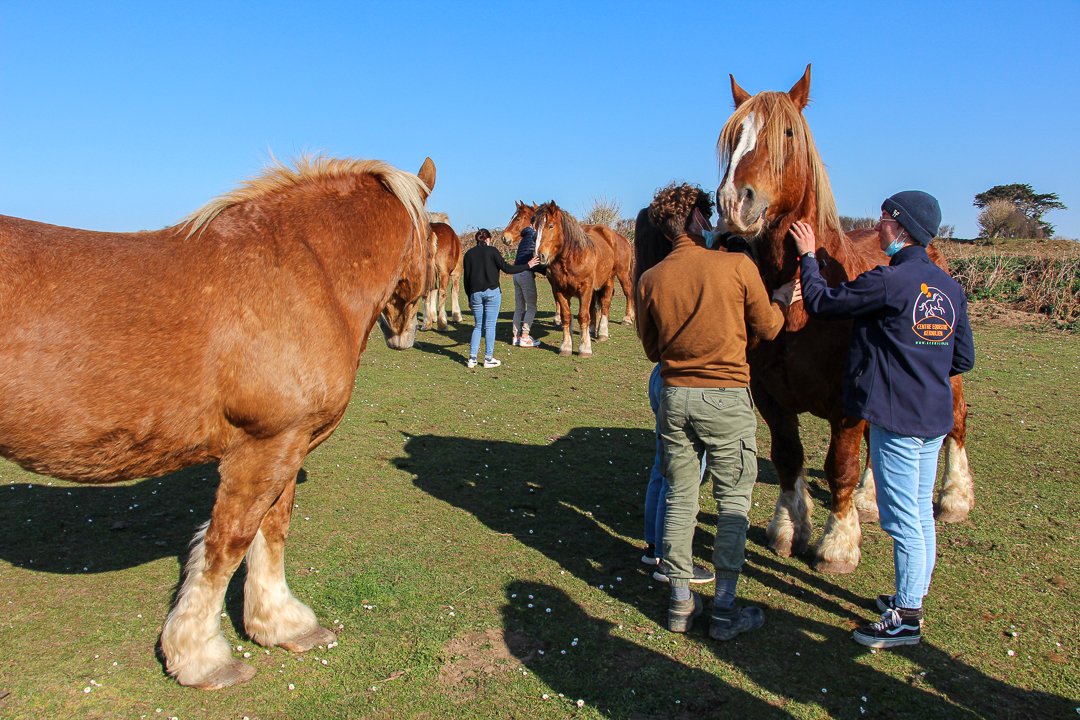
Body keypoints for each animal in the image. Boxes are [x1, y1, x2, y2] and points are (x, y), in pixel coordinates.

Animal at [1, 156, 438, 686]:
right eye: (433, 237)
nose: (406, 331)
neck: (302, 271)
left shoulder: (289, 444)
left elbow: (273, 529)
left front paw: (282, 624)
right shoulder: (264, 446)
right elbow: (227, 545)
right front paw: (201, 656)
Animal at [712, 67, 976, 574]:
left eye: (787, 133)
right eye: (734, 137)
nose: (735, 201)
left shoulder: (847, 406)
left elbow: (841, 467)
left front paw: (837, 544)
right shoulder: (772, 399)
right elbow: (789, 457)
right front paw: (789, 528)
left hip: (946, 376)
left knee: (955, 419)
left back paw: (954, 498)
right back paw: (873, 500)